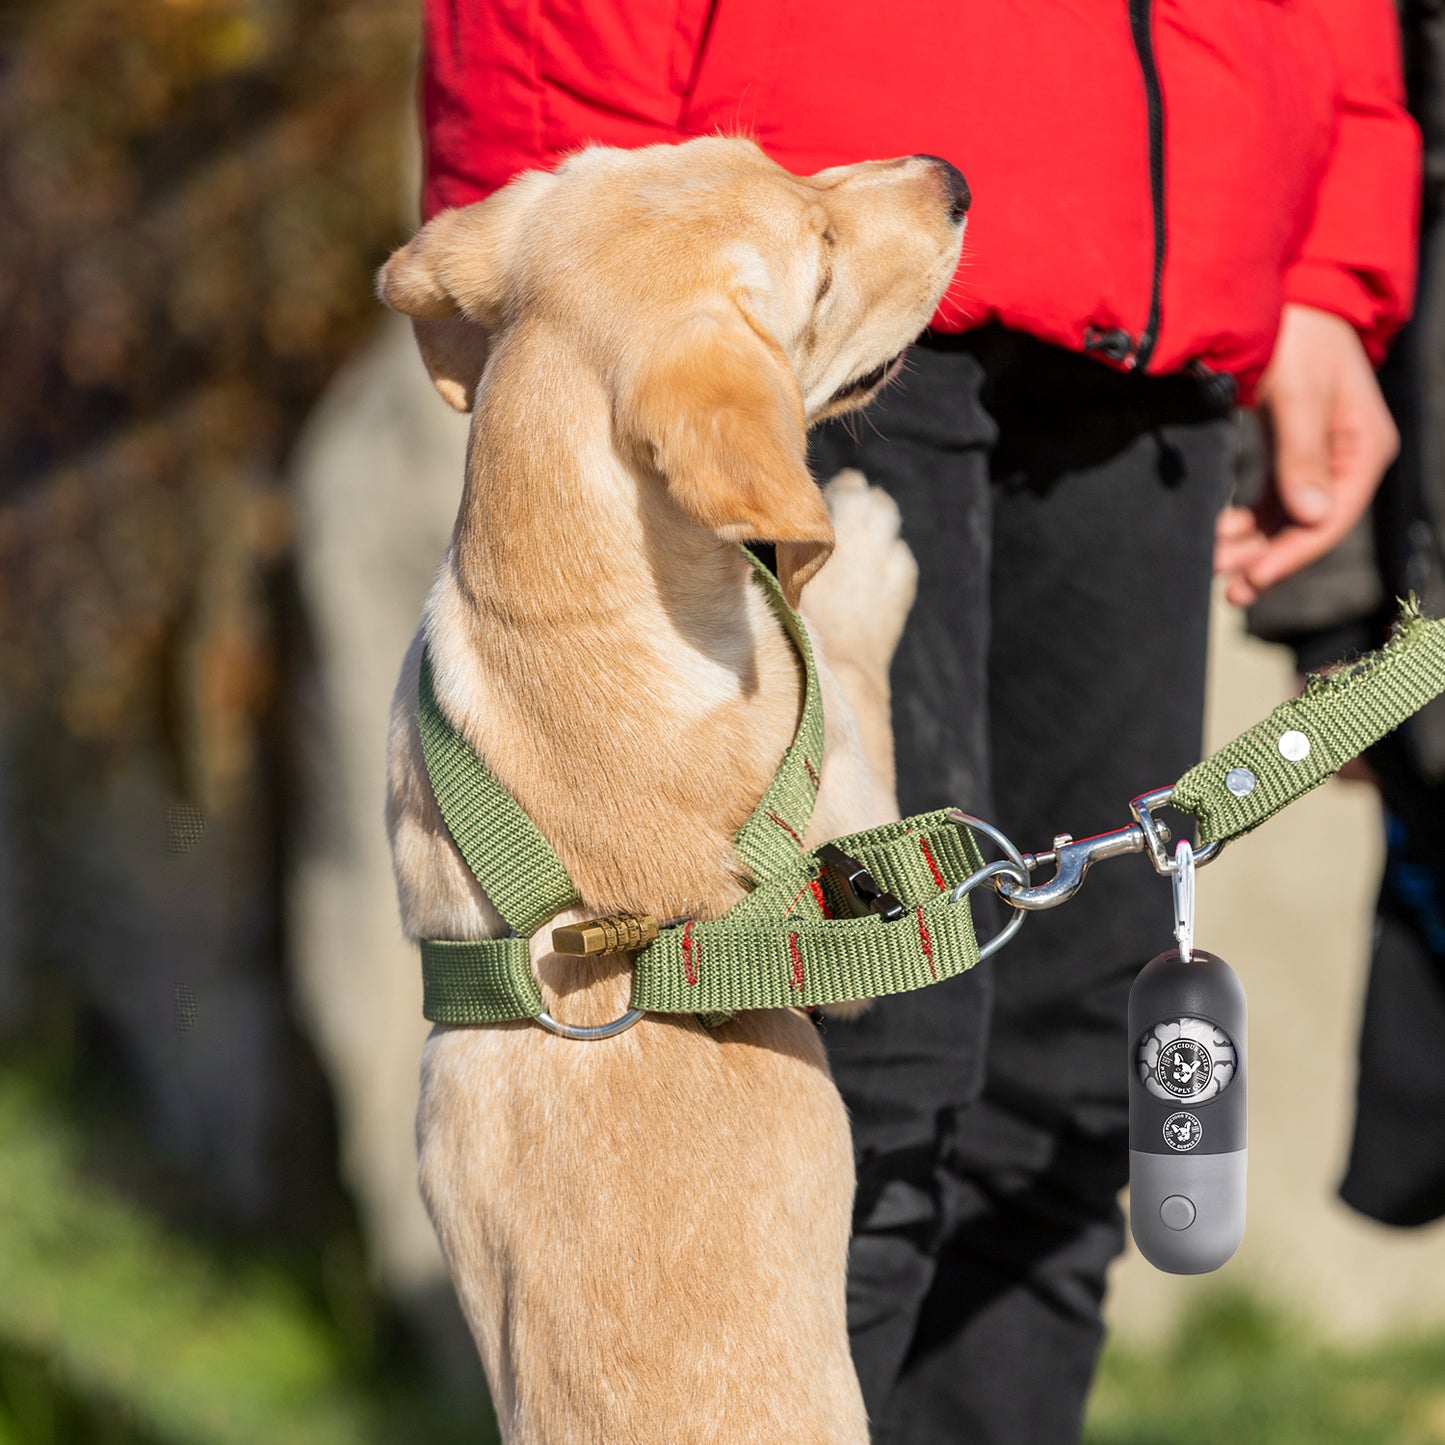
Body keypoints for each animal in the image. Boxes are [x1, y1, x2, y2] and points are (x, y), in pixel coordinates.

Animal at [384, 137, 965, 1445]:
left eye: (781, 159)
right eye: (820, 265)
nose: (952, 178)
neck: (555, 607)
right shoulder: (846, 825)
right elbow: (842, 659)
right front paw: (860, 552)